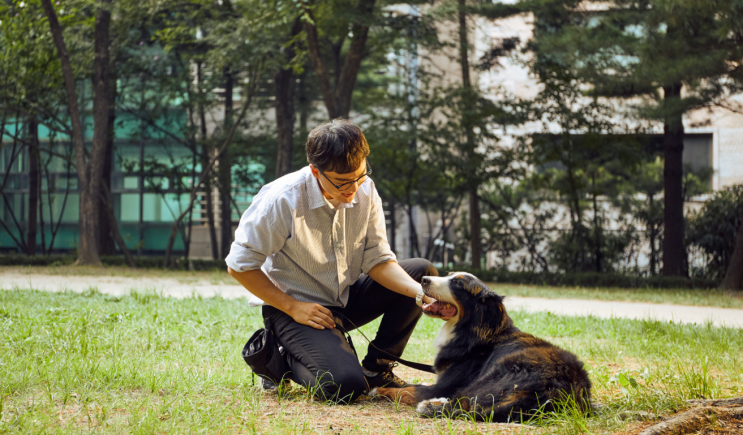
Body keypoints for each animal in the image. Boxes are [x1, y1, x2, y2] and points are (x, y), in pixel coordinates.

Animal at [374, 272, 588, 422]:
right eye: (449, 275)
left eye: (457, 283)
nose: (423, 279)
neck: (472, 333)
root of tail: (559, 388)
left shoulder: (444, 386)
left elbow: (407, 390)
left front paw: (379, 390)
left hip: (493, 375)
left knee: (465, 404)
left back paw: (433, 404)